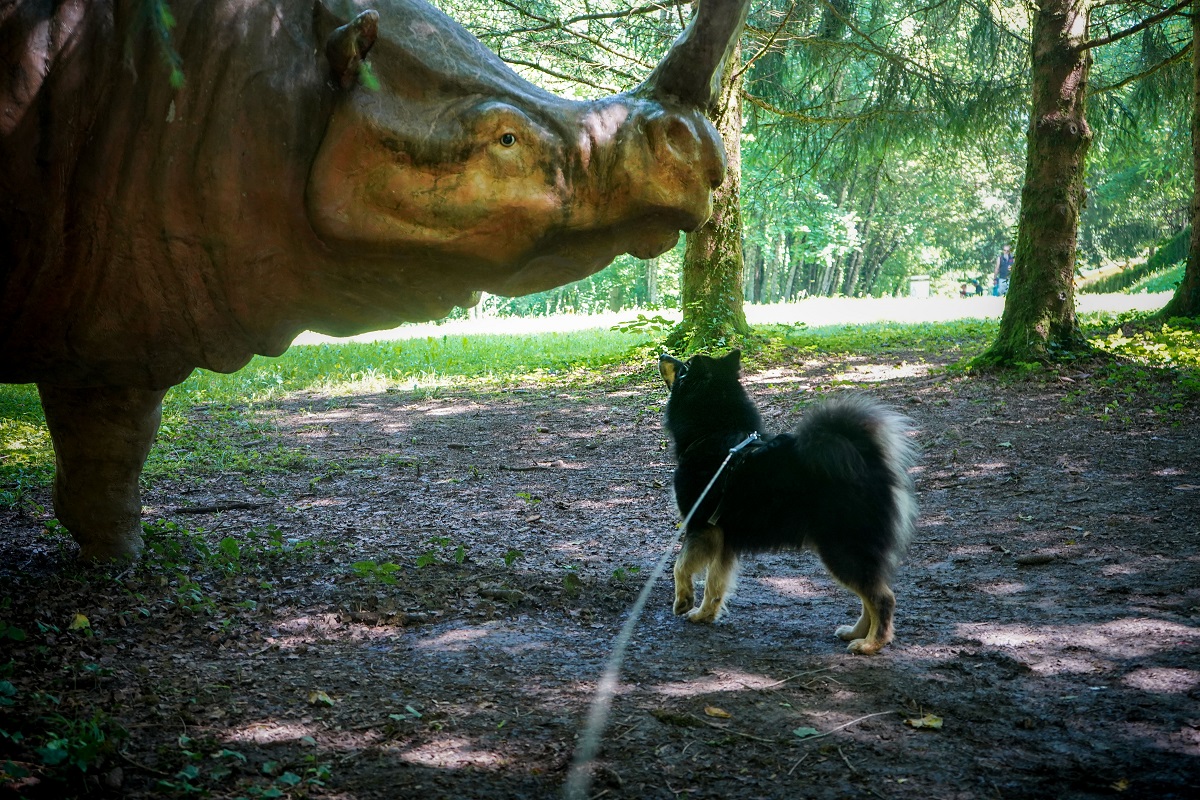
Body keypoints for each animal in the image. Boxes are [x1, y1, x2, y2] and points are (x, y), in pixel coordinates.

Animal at [662, 352, 912, 657]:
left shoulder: (701, 527)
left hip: (842, 548)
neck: (714, 433)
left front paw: (683, 600)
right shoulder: (724, 538)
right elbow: (715, 583)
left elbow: (681, 565)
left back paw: (872, 643)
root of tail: (866, 458)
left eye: (684, 367)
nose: (663, 354)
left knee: (882, 597)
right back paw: (856, 633)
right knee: (870, 595)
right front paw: (704, 614)